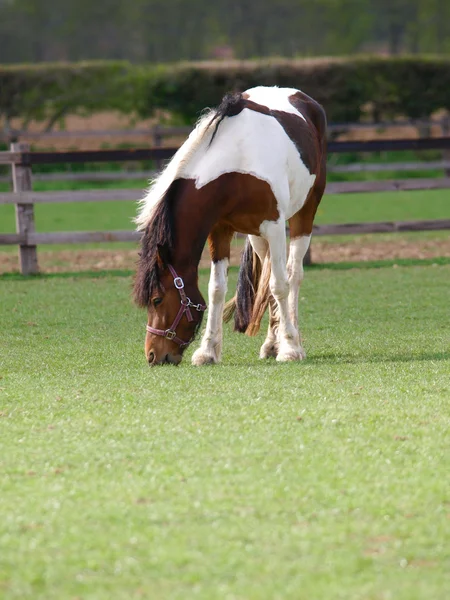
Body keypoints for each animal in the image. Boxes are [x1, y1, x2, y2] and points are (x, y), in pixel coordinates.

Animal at [134, 85, 326, 366]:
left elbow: (280, 285)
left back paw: (292, 339)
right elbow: (217, 289)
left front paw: (290, 348)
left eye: (157, 299)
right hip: (257, 238)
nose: (152, 355)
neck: (237, 165)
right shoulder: (219, 230)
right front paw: (207, 351)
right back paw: (271, 343)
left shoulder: (275, 226)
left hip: (304, 214)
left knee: (293, 274)